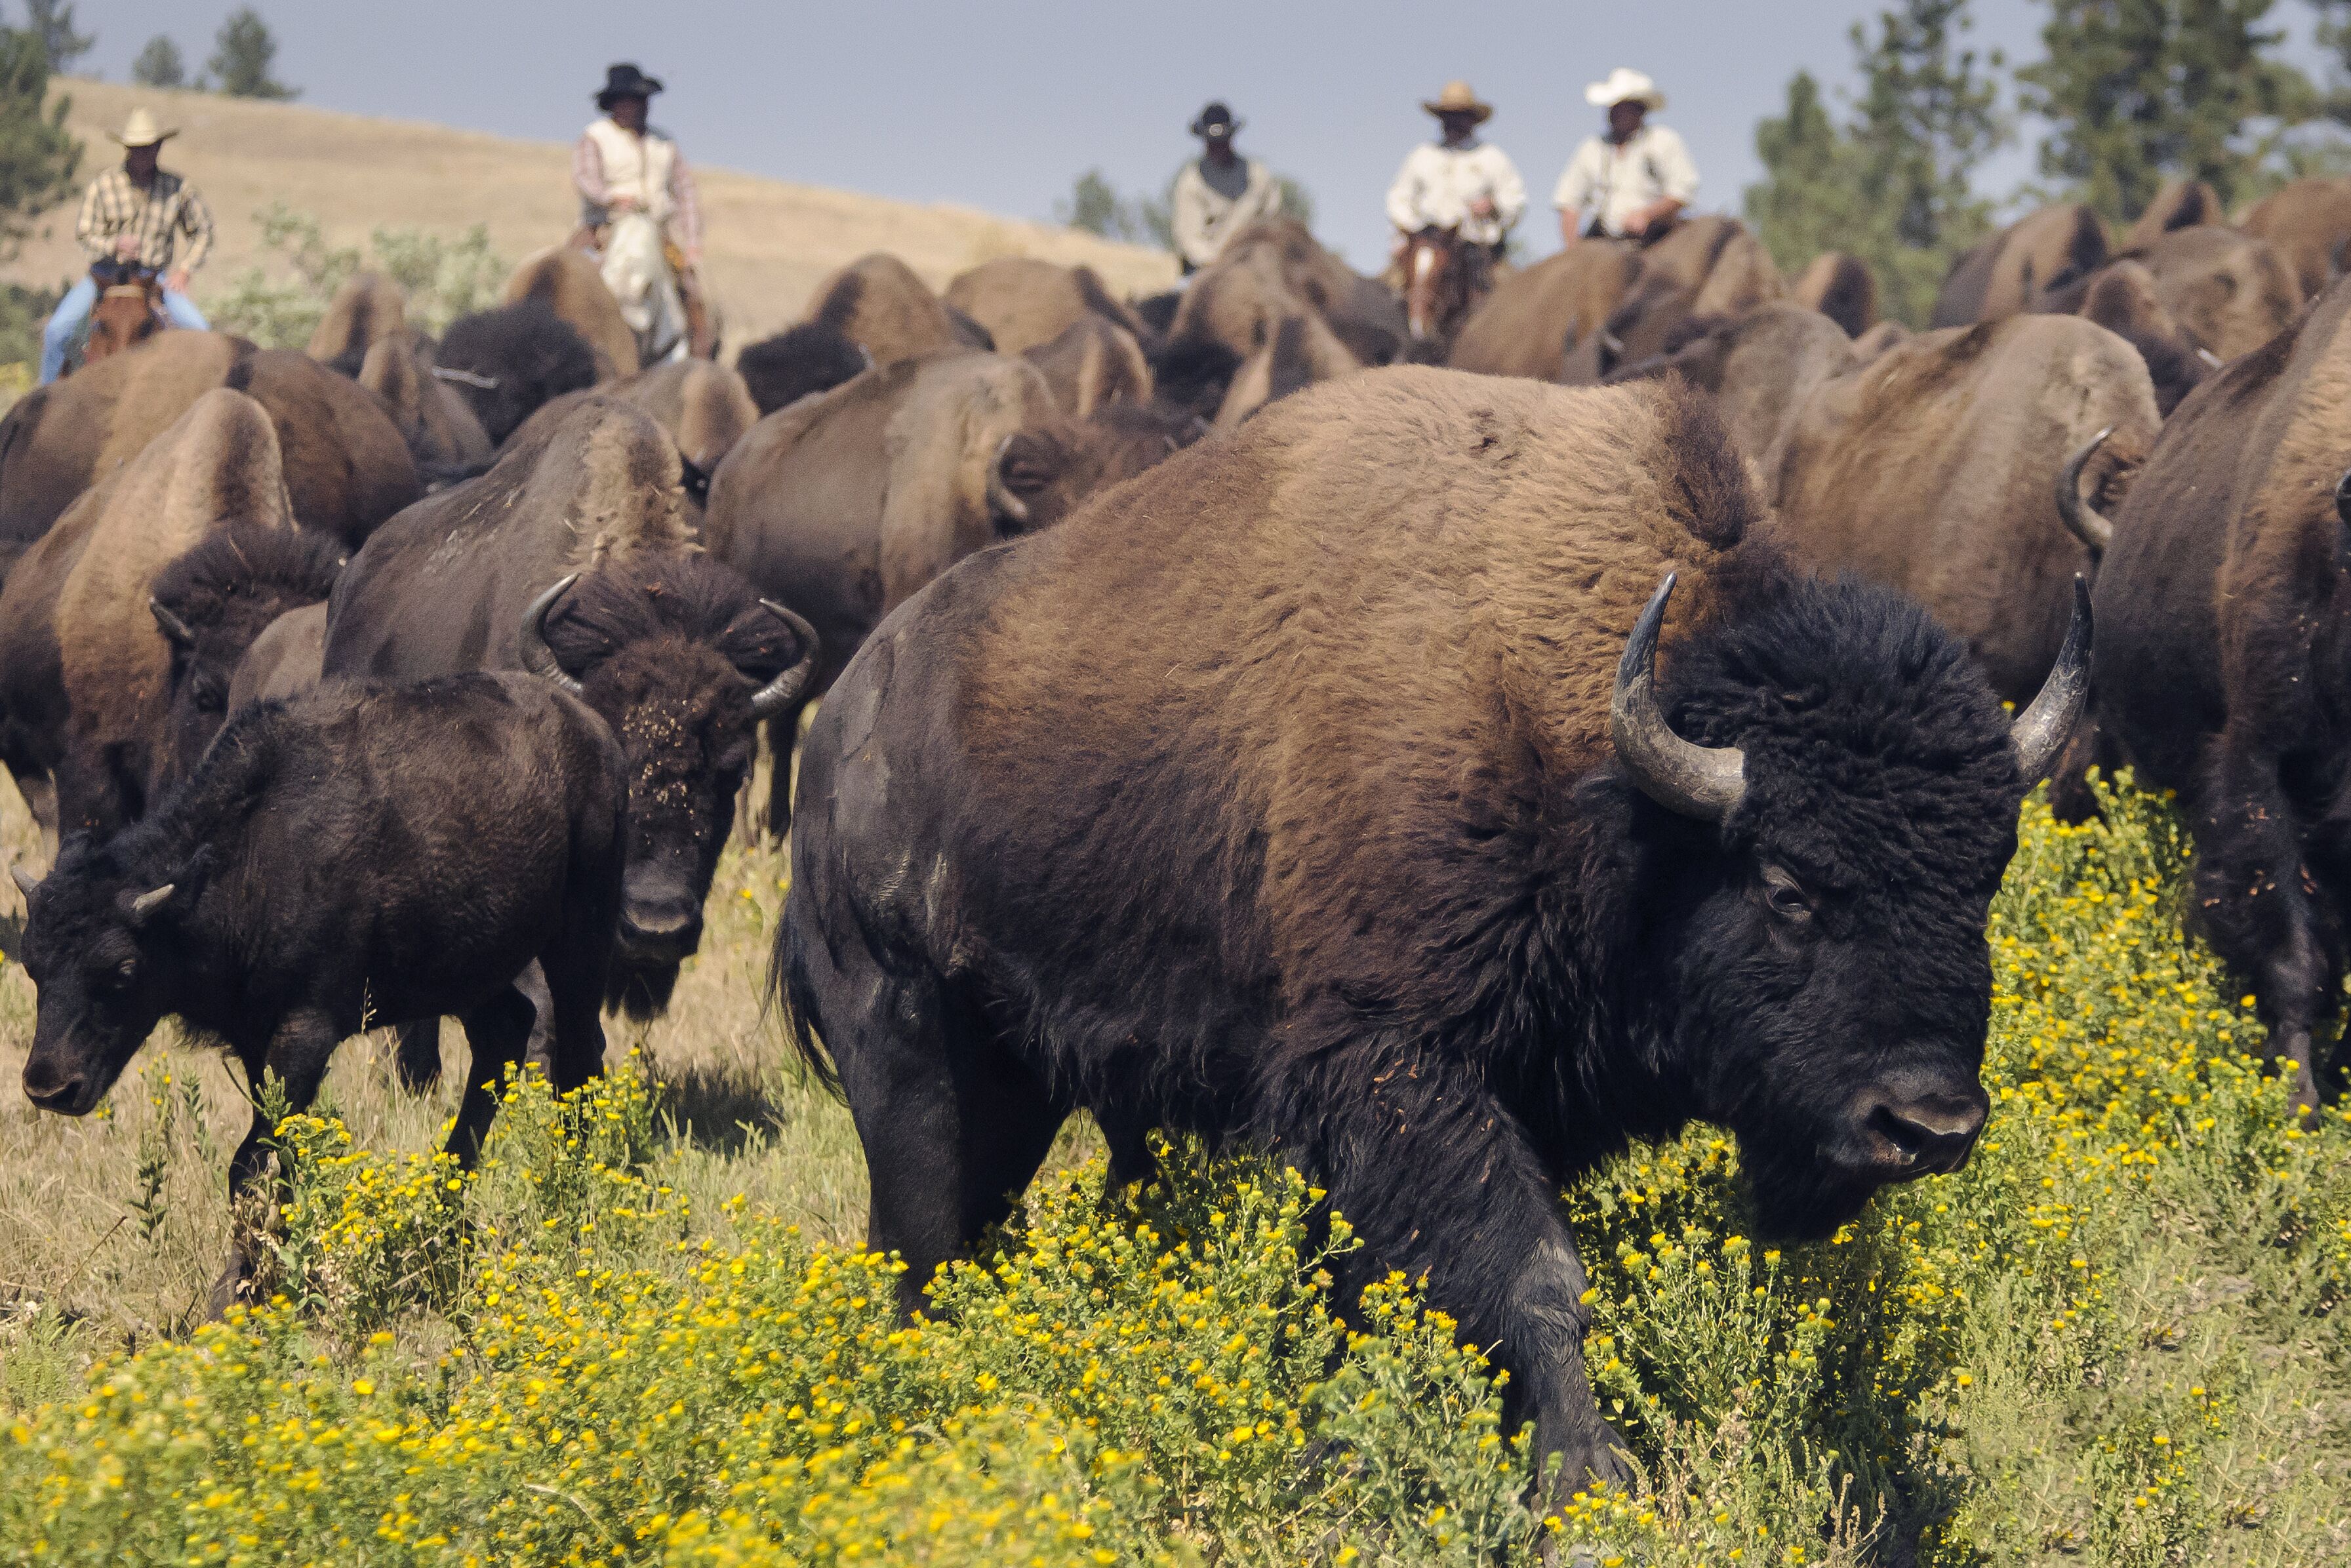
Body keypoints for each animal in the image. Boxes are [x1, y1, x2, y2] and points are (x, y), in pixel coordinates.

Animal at [13, 672, 626, 1313]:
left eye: (124, 969)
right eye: (32, 964)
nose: (51, 1086)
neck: (246, 858)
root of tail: (593, 729)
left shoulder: (304, 1033)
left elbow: (254, 1162)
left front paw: (235, 1296)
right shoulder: (257, 1043)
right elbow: (268, 1160)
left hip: (580, 936)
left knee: (578, 1057)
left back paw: (572, 1197)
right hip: (470, 972)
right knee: (505, 1033)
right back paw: (446, 1212)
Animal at [777, 368, 2086, 1491]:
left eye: (1987, 876)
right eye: (1787, 884)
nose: (1929, 1123)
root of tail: (839, 727)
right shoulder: (1395, 1063)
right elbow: (1532, 1270)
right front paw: (1585, 1480)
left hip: (1021, 1078)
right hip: (903, 1041)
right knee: (921, 1237)